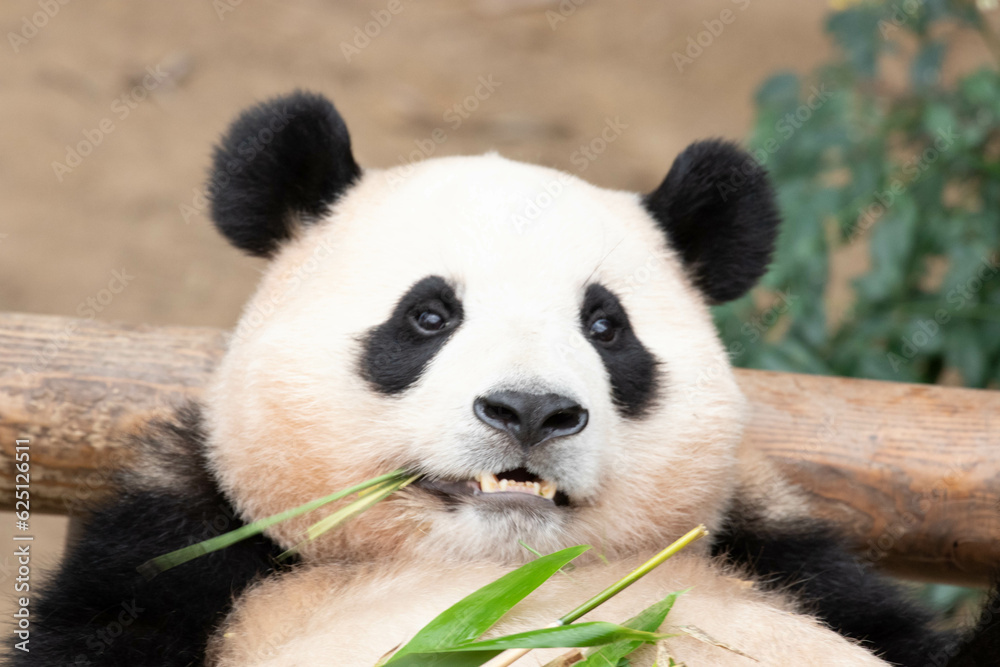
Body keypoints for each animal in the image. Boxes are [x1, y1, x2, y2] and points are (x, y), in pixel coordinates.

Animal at [9, 91, 996, 666]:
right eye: (428, 315)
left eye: (605, 326)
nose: (531, 409)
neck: (496, 568)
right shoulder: (184, 553)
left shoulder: (786, 562)